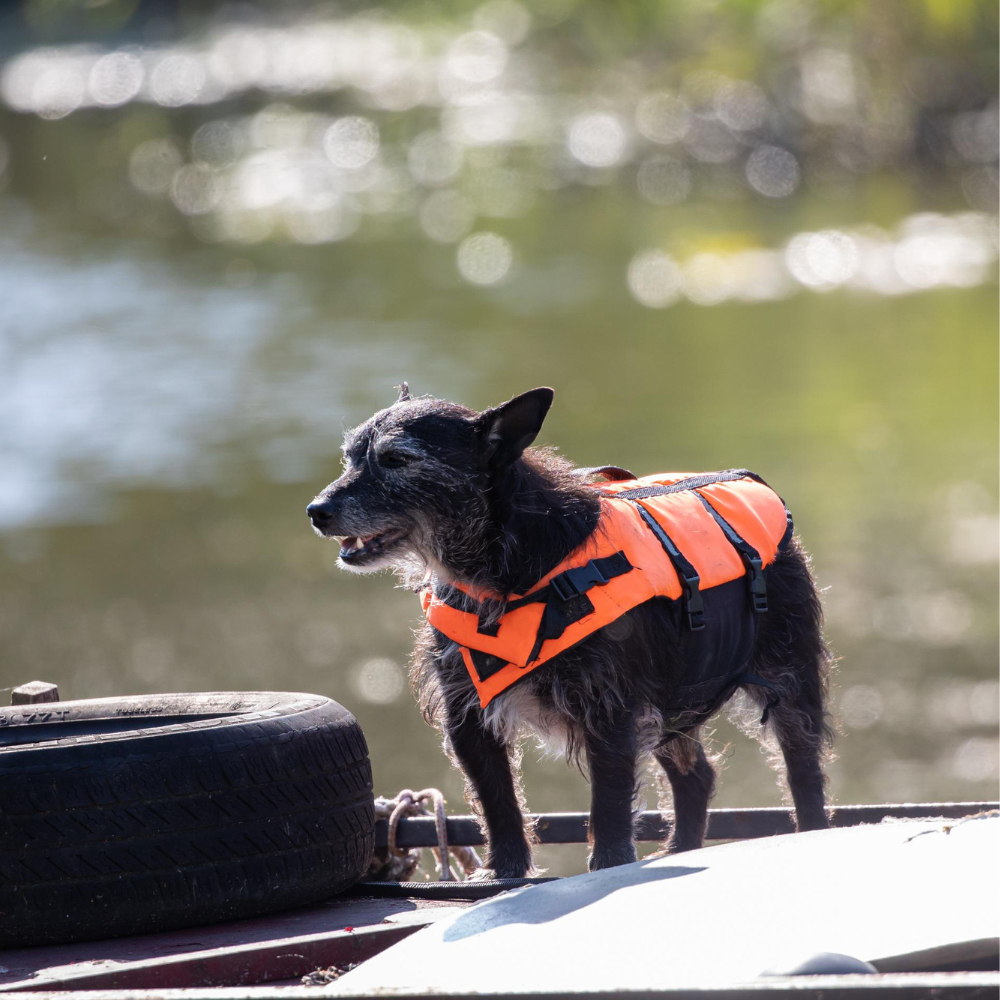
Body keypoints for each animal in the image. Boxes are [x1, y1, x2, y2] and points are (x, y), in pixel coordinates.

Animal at [306, 384, 836, 876]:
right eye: (350, 456)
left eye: (397, 459)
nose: (317, 510)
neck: (507, 567)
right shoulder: (468, 712)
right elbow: (497, 801)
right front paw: (505, 871)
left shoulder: (611, 709)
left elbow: (609, 799)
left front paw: (610, 863)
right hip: (673, 701)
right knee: (696, 776)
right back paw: (679, 849)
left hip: (787, 681)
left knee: (802, 769)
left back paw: (810, 830)